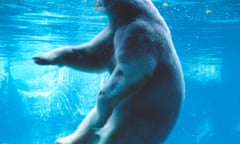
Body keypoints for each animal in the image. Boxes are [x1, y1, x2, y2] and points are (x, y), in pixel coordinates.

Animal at [32, 0, 185, 144]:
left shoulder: (138, 33)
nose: (94, 4)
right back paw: (65, 139)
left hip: (136, 123)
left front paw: (101, 114)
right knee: (89, 120)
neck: (137, 13)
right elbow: (92, 56)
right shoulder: (113, 31)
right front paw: (43, 57)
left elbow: (134, 70)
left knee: (115, 136)